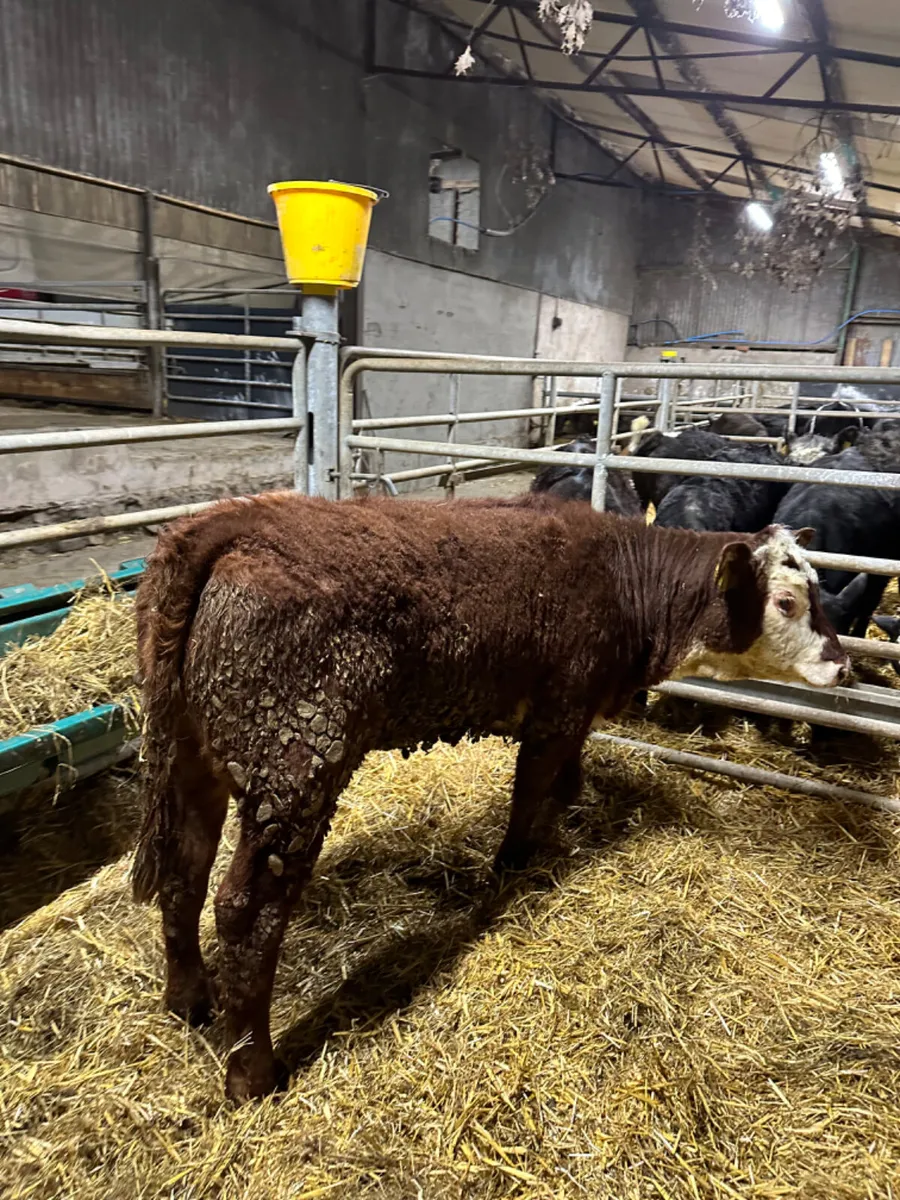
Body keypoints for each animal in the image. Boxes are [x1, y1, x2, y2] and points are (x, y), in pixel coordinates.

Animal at [131, 493, 848, 1102]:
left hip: (192, 757)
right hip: (296, 767)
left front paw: (568, 819)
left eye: (822, 590)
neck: (623, 578)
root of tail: (227, 523)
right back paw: (253, 1072)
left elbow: (565, 779)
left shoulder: (576, 713)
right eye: (787, 602)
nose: (842, 666)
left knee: (184, 870)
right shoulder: (559, 707)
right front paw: (515, 868)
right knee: (245, 910)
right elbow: (530, 793)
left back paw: (189, 1000)